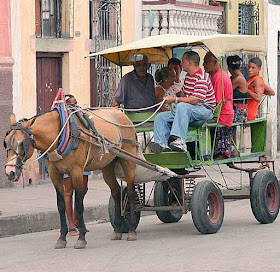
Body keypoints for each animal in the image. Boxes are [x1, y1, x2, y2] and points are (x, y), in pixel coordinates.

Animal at [4, 107, 139, 249]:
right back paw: (117, 230)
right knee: (116, 192)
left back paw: (131, 230)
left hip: (129, 161)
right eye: (5, 142)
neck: (62, 133)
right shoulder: (54, 174)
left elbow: (78, 205)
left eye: (22, 143)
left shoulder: (77, 172)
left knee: (130, 192)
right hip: (107, 165)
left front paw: (81, 238)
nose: (10, 172)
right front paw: (62, 238)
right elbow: (61, 205)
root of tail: (120, 112)